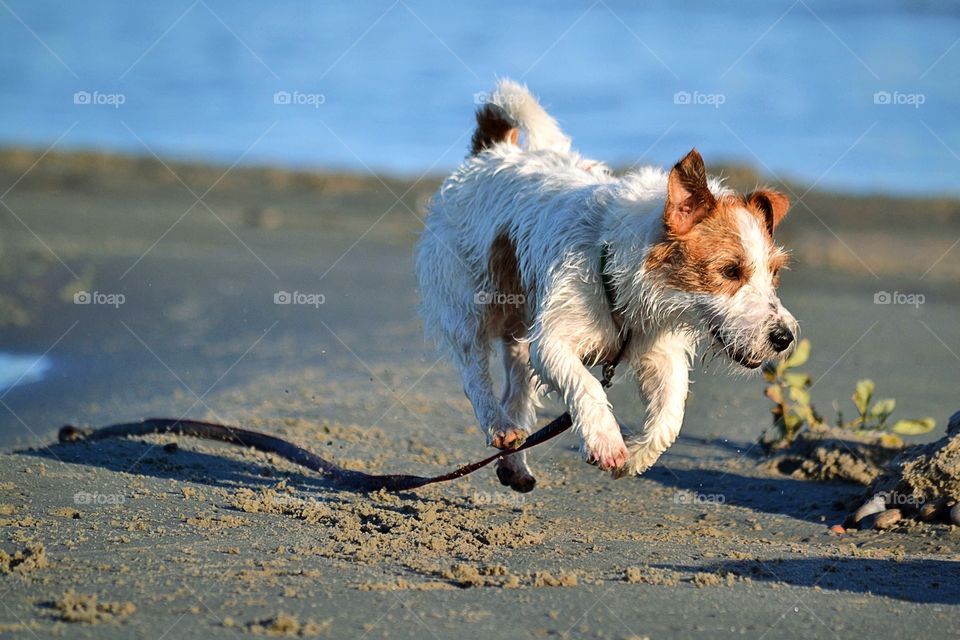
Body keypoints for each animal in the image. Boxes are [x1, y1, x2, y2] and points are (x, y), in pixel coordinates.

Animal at [416, 79, 800, 490]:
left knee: (517, 388)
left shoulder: (660, 353)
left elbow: (671, 416)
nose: (784, 337)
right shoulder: (552, 342)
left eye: (774, 273)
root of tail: (491, 152)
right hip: (467, 306)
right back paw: (499, 425)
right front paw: (605, 440)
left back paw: (514, 462)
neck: (613, 266)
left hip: (522, 326)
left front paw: (636, 457)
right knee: (475, 372)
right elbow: (587, 385)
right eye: (730, 271)